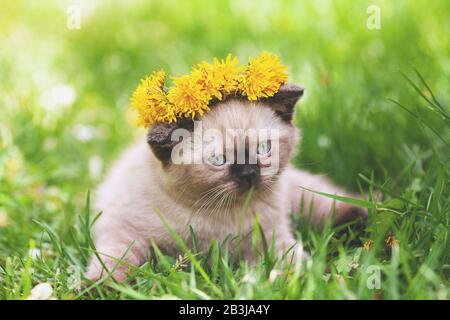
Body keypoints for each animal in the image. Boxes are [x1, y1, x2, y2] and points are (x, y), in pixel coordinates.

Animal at [86, 84, 368, 282]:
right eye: (219, 160)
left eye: (263, 148)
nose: (250, 173)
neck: (218, 216)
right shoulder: (124, 229)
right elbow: (115, 262)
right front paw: (101, 288)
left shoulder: (272, 241)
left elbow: (299, 266)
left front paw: (329, 279)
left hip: (304, 198)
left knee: (341, 203)